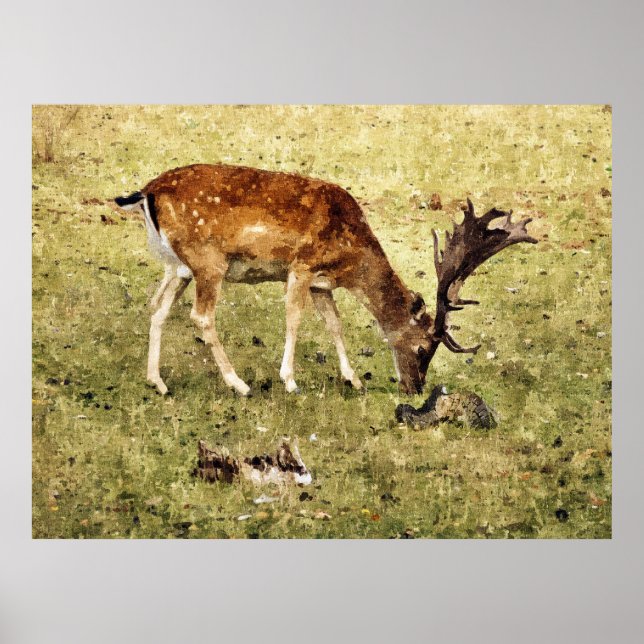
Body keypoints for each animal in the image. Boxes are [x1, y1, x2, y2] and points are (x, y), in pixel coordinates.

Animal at [114, 164, 537, 397]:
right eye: (422, 348)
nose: (414, 388)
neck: (350, 258)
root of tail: (146, 192)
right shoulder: (302, 265)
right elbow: (294, 320)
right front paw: (290, 381)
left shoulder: (321, 283)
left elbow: (335, 324)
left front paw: (354, 380)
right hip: (208, 261)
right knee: (201, 317)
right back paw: (239, 385)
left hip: (178, 267)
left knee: (157, 308)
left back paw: (158, 382)